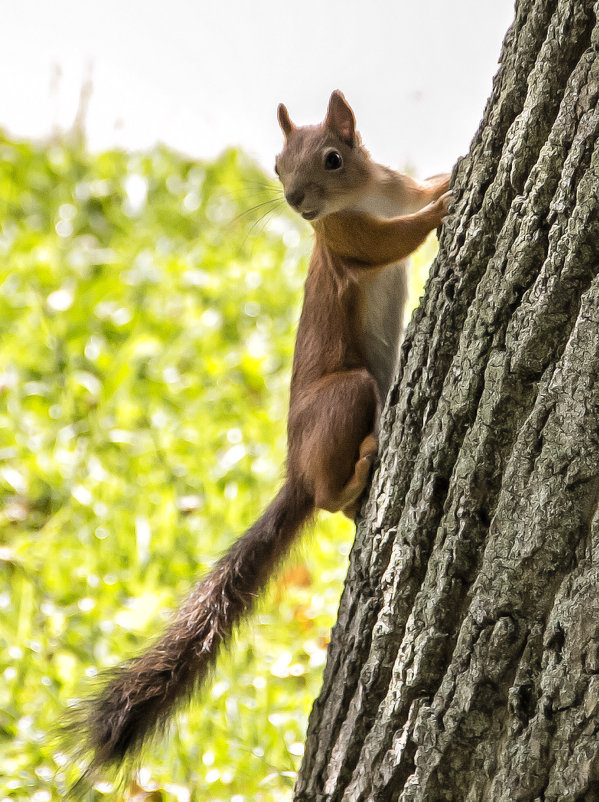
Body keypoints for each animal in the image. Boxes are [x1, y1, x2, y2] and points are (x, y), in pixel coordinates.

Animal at [72, 89, 450, 780]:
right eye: (276, 166)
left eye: (332, 157)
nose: (298, 202)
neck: (367, 193)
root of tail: (296, 471)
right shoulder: (346, 238)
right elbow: (391, 241)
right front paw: (448, 203)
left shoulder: (393, 188)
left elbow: (418, 191)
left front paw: (452, 172)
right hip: (349, 393)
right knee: (329, 494)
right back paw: (360, 464)